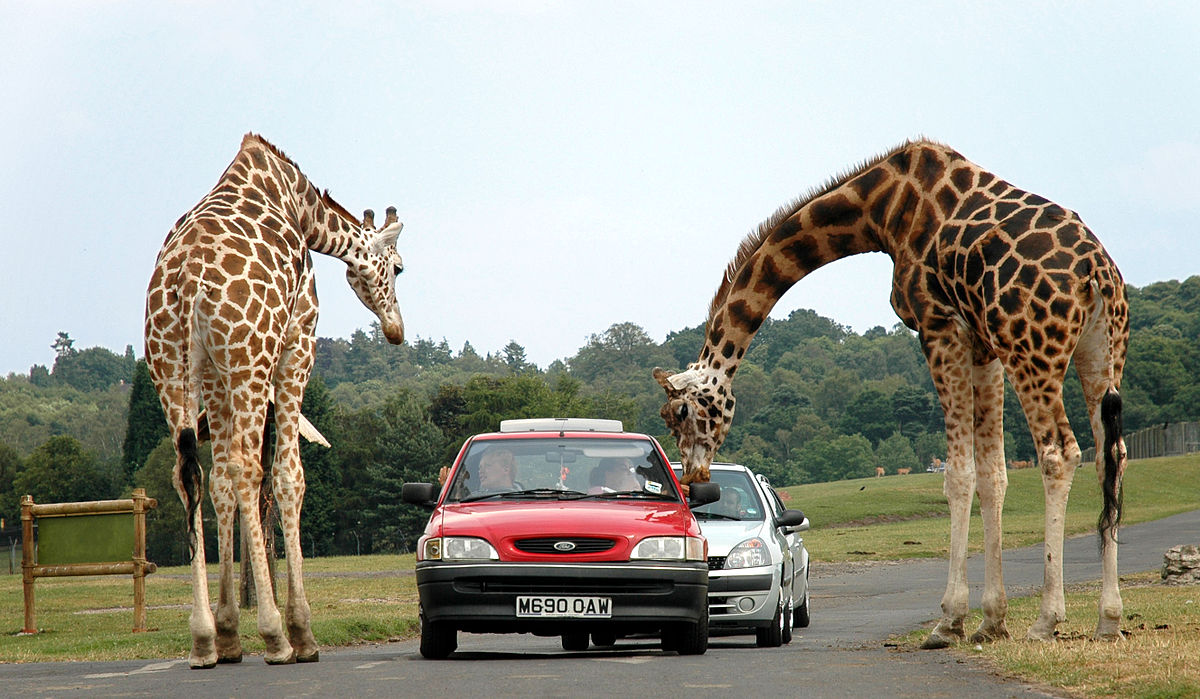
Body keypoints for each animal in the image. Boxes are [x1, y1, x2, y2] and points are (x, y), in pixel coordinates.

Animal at [143, 132, 408, 667]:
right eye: (399, 268)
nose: (397, 330)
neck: (302, 208)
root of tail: (185, 282)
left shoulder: (217, 375)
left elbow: (219, 484)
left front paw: (227, 632)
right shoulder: (297, 342)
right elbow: (289, 476)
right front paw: (302, 630)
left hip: (172, 367)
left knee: (190, 473)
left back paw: (203, 640)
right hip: (251, 358)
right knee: (249, 468)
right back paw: (277, 637)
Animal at [657, 139, 1132, 648]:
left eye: (680, 412)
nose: (696, 478)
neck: (881, 211)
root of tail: (1096, 273)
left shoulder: (938, 325)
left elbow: (958, 474)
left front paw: (949, 621)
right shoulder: (981, 344)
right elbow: (993, 475)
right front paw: (991, 621)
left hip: (1031, 349)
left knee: (1059, 453)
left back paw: (1047, 620)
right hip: (1100, 351)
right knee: (1110, 455)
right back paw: (1109, 618)